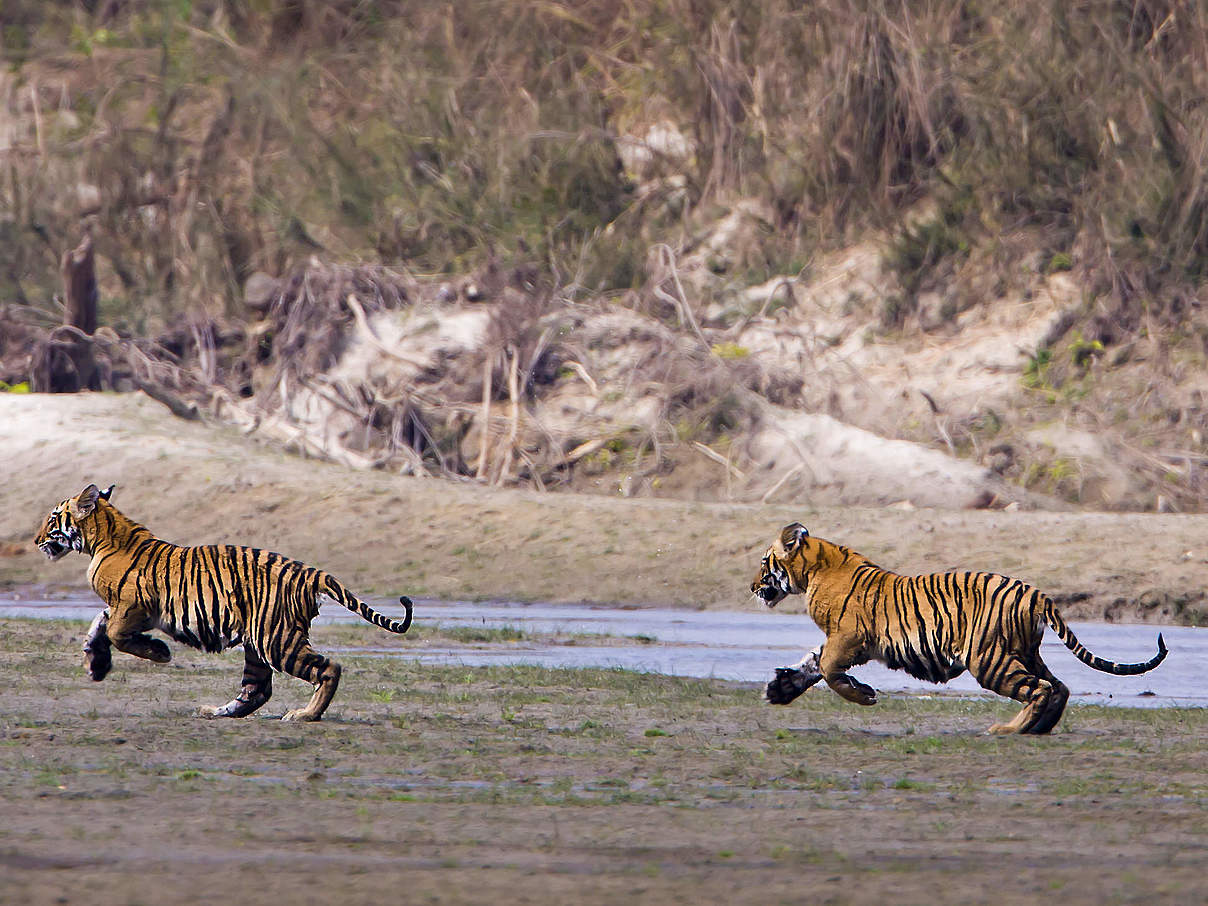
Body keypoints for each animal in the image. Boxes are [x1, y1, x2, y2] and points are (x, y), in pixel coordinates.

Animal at [35, 483, 413, 724]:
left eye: (53, 518)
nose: (37, 540)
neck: (102, 538)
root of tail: (309, 572)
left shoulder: (133, 606)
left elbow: (114, 632)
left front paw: (158, 653)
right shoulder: (126, 610)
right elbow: (99, 625)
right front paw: (96, 664)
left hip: (276, 639)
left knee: (328, 668)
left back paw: (305, 715)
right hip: (258, 643)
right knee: (256, 690)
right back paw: (215, 712)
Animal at [748, 524, 1164, 739]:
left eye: (764, 563)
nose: (752, 586)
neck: (816, 568)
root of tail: (1037, 593)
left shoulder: (848, 638)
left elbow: (829, 669)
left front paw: (862, 695)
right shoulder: (842, 640)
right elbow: (813, 664)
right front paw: (780, 689)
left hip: (989, 659)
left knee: (1041, 689)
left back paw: (1007, 729)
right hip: (1021, 652)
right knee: (1059, 686)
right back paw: (1037, 729)